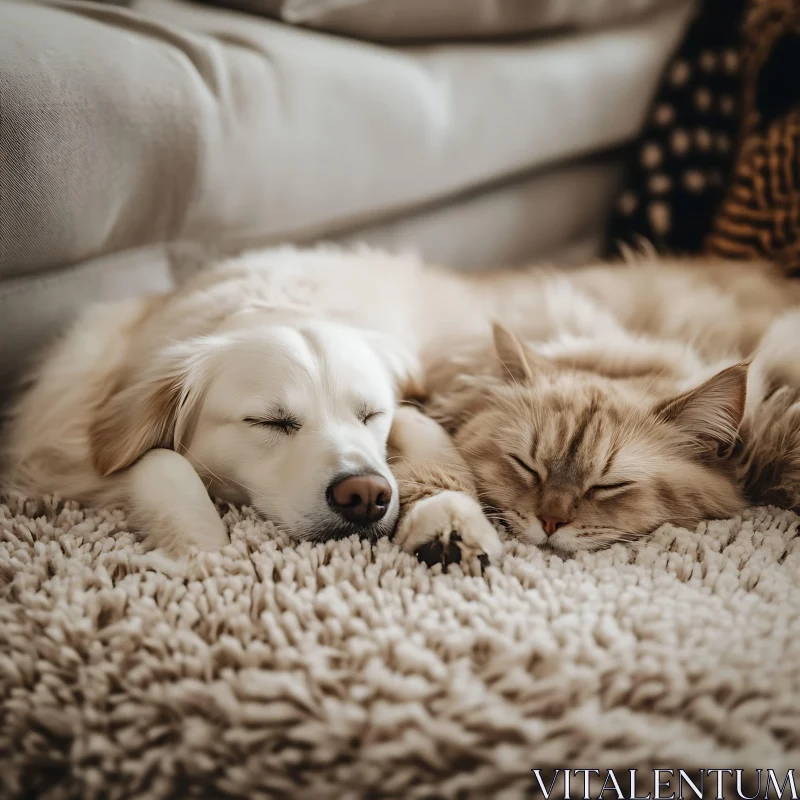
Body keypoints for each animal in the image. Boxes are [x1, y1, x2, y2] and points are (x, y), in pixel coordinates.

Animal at [0, 247, 500, 564]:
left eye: (371, 415)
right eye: (270, 422)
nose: (365, 495)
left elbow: (421, 425)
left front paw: (450, 517)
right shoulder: (60, 448)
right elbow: (163, 461)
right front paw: (200, 552)